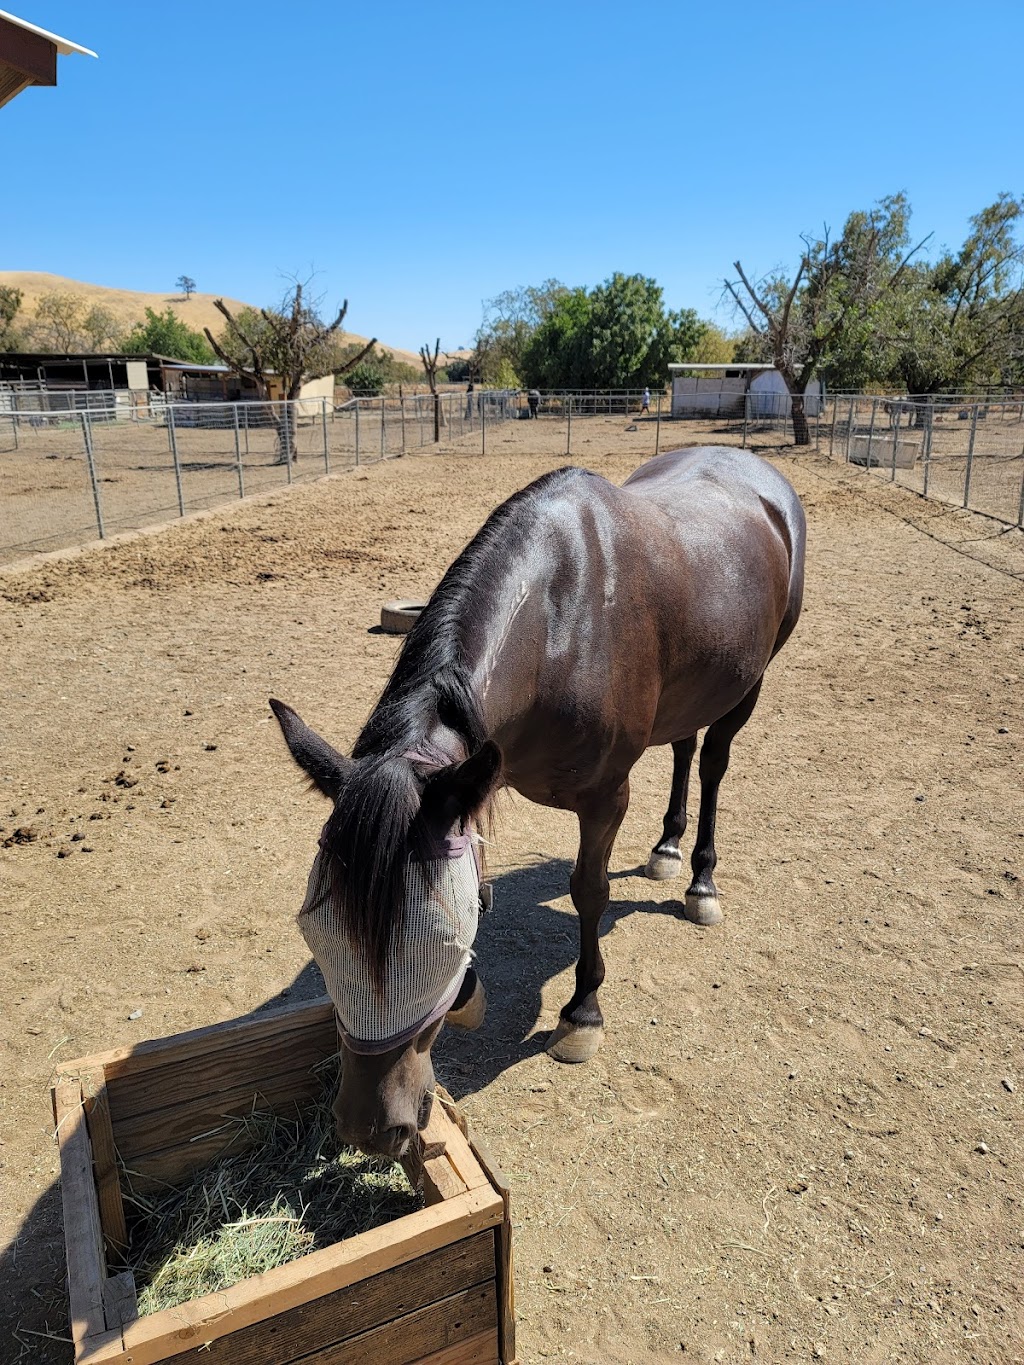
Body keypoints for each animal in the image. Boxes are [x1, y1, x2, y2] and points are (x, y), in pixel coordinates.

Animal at [273, 444, 808, 1152]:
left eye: (441, 940)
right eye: (315, 930)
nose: (369, 1128)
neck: (560, 625)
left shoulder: (606, 797)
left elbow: (590, 891)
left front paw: (582, 1016)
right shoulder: (474, 783)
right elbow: (480, 882)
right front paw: (469, 995)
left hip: (751, 681)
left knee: (714, 762)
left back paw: (700, 881)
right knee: (684, 747)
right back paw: (666, 848)